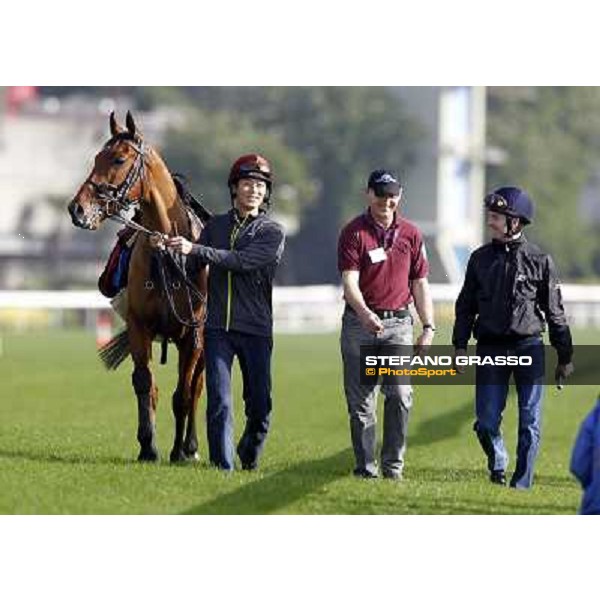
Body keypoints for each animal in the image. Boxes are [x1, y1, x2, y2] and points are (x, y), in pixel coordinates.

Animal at [67, 110, 207, 462]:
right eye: (96, 158)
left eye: (118, 159)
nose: (77, 208)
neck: (169, 253)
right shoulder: (139, 326)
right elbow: (145, 384)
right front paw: (148, 446)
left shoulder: (193, 335)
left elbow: (184, 393)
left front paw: (179, 451)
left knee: (198, 386)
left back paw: (191, 446)